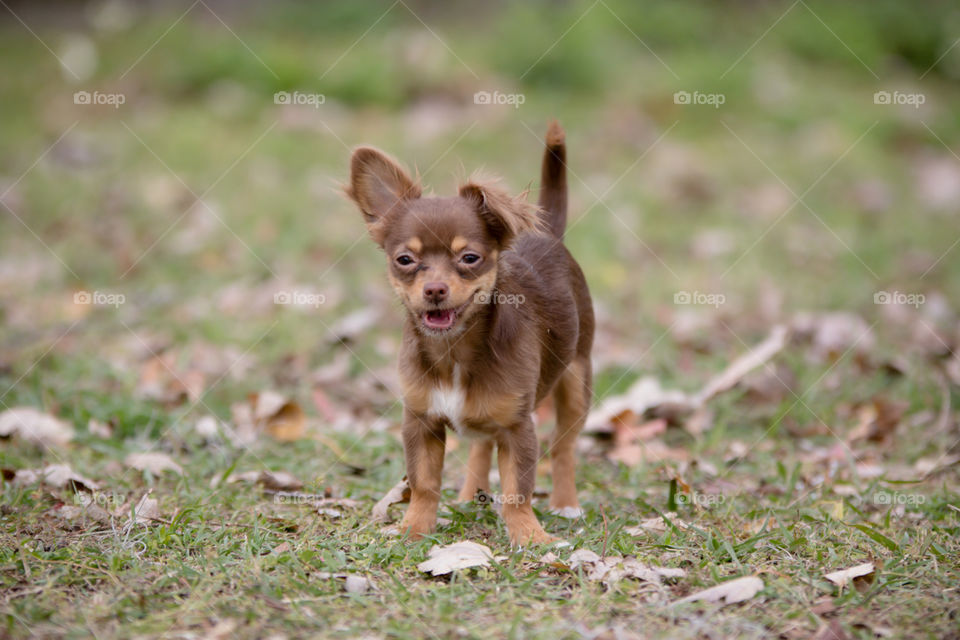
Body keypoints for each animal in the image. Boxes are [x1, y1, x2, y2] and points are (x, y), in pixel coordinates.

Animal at [346, 121, 592, 544]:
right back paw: (468, 495)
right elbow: (424, 482)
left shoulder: (517, 427)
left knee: (563, 447)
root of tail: (550, 237)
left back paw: (565, 503)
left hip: (577, 382)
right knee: (481, 445)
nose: (434, 290)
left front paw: (529, 536)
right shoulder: (421, 422)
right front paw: (414, 528)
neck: (454, 350)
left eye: (470, 258)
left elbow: (517, 490)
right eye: (405, 260)